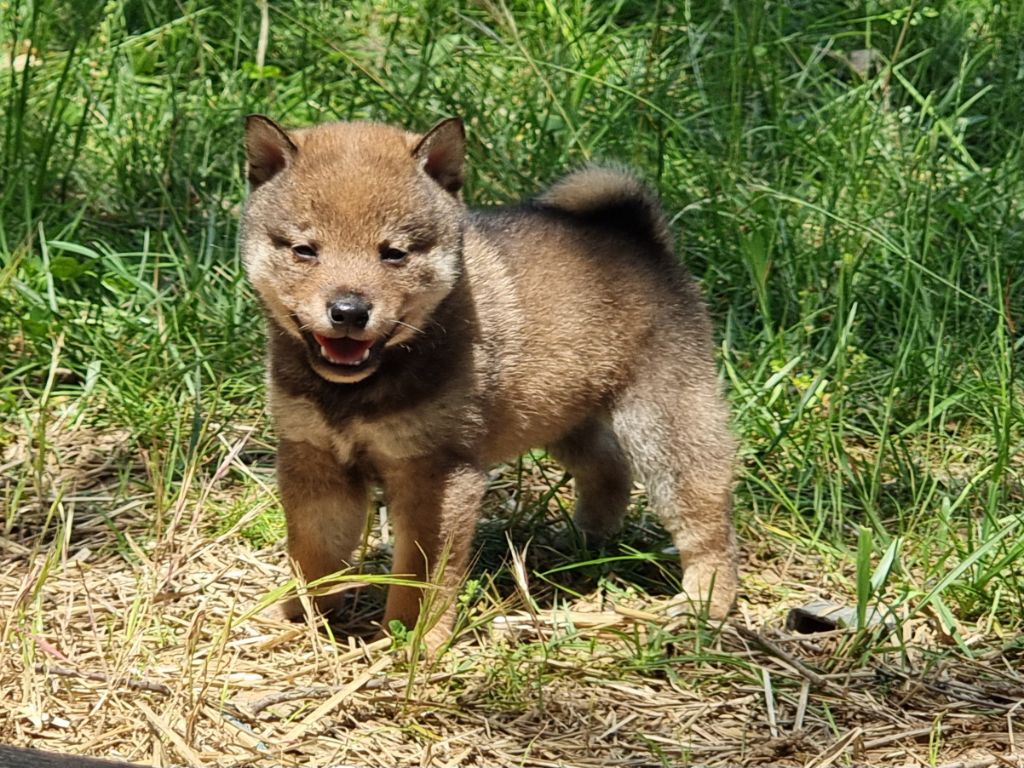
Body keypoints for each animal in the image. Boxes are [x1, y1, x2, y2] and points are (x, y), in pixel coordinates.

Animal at [239, 114, 737, 643]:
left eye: (393, 253)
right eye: (304, 250)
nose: (349, 311)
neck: (355, 392)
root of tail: (637, 235)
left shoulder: (436, 472)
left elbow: (421, 575)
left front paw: (414, 637)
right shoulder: (314, 458)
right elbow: (315, 555)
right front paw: (299, 614)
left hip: (663, 427)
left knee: (706, 521)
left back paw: (705, 601)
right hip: (564, 416)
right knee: (608, 469)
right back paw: (583, 541)